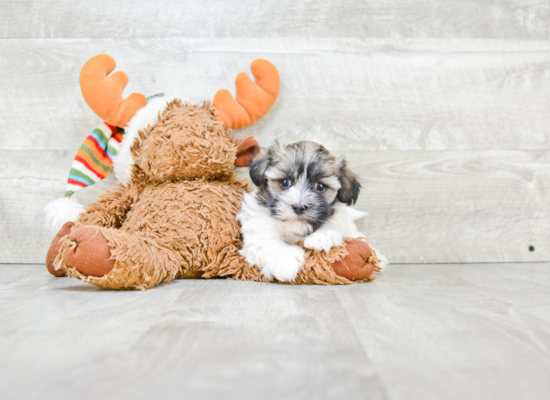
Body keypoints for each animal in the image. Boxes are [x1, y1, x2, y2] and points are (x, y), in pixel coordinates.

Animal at [237, 141, 388, 282]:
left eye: (320, 186)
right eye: (285, 182)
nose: (299, 206)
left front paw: (322, 235)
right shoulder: (258, 227)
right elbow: (266, 242)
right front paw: (286, 260)